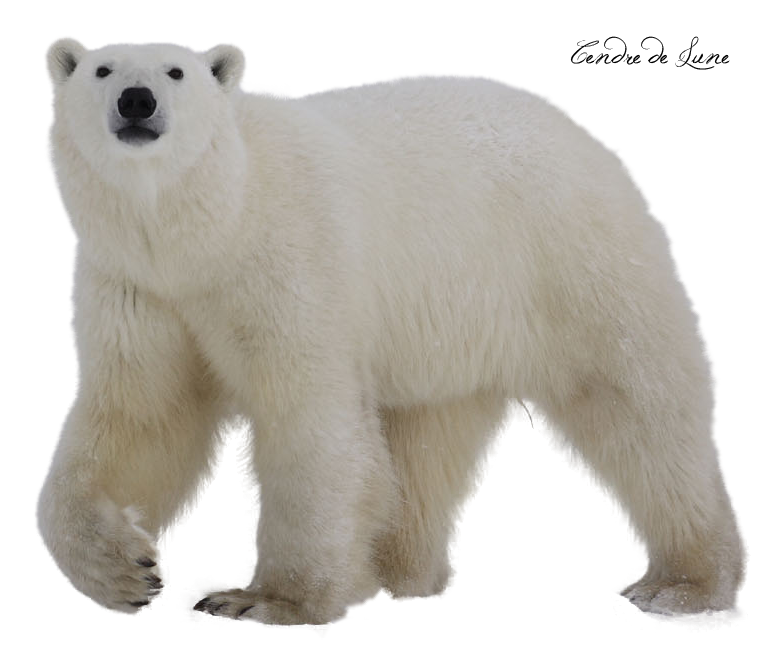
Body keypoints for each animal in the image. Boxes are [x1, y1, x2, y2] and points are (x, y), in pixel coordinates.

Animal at [37, 35, 749, 635]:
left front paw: (259, 600)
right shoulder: (140, 285)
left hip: (569, 256)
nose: (136, 100)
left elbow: (307, 417)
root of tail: (591, 137)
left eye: (176, 71)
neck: (208, 229)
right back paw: (397, 570)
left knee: (635, 405)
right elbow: (142, 416)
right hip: (448, 324)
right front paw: (127, 571)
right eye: (103, 69)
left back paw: (677, 591)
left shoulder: (287, 257)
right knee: (425, 440)